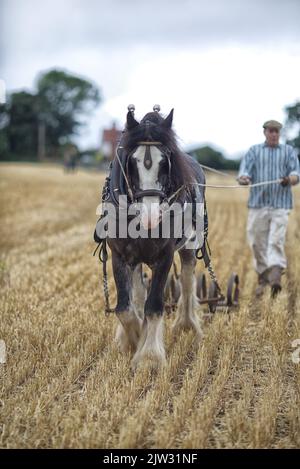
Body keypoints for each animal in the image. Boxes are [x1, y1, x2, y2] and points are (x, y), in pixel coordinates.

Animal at [95, 108, 206, 368]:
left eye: (165, 161)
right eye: (131, 162)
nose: (151, 216)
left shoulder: (165, 256)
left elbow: (154, 306)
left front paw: (149, 357)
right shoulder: (120, 255)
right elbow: (124, 308)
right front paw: (133, 338)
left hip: (189, 246)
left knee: (187, 282)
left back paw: (187, 325)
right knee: (137, 292)